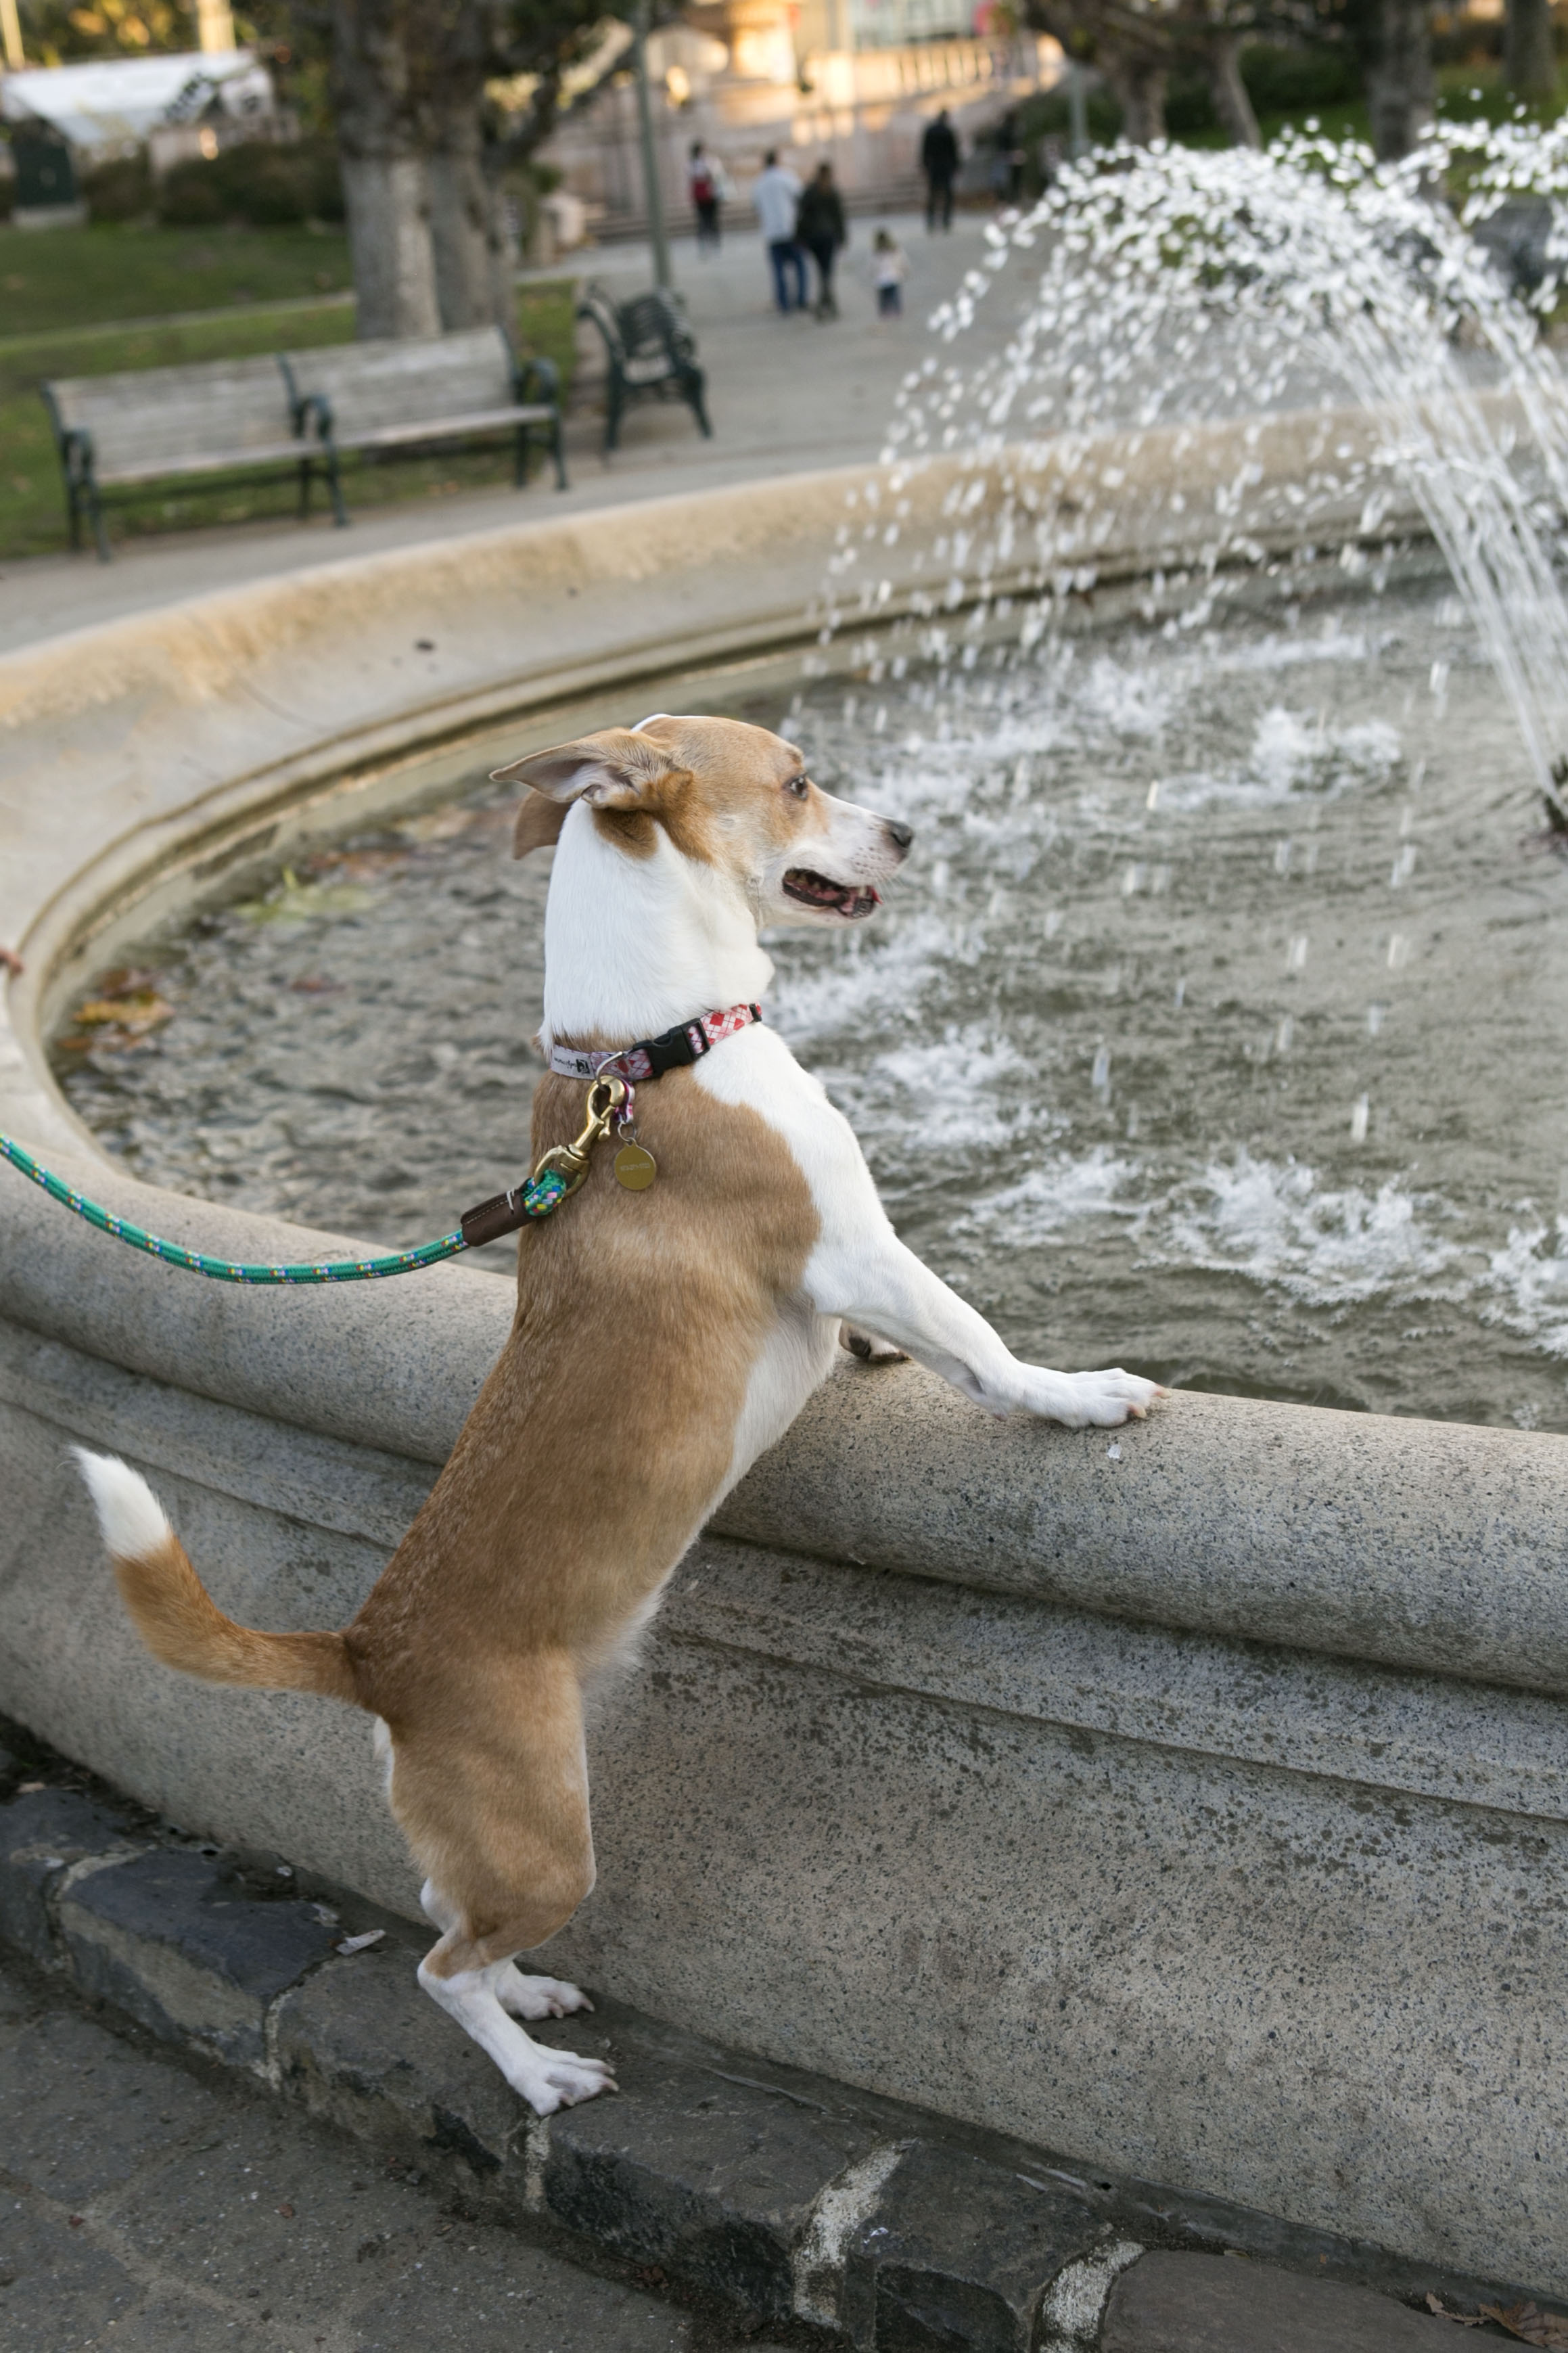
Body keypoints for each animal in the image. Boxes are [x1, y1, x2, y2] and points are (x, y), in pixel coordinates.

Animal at [76, 710, 1158, 2118]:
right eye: (799, 779)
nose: (910, 829)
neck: (650, 1048)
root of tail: (366, 1650)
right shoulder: (858, 1249)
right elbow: (976, 1343)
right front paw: (1075, 1395)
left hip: (504, 1827)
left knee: (447, 1910)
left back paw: (529, 1996)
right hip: (548, 1836)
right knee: (437, 1964)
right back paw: (536, 2069)